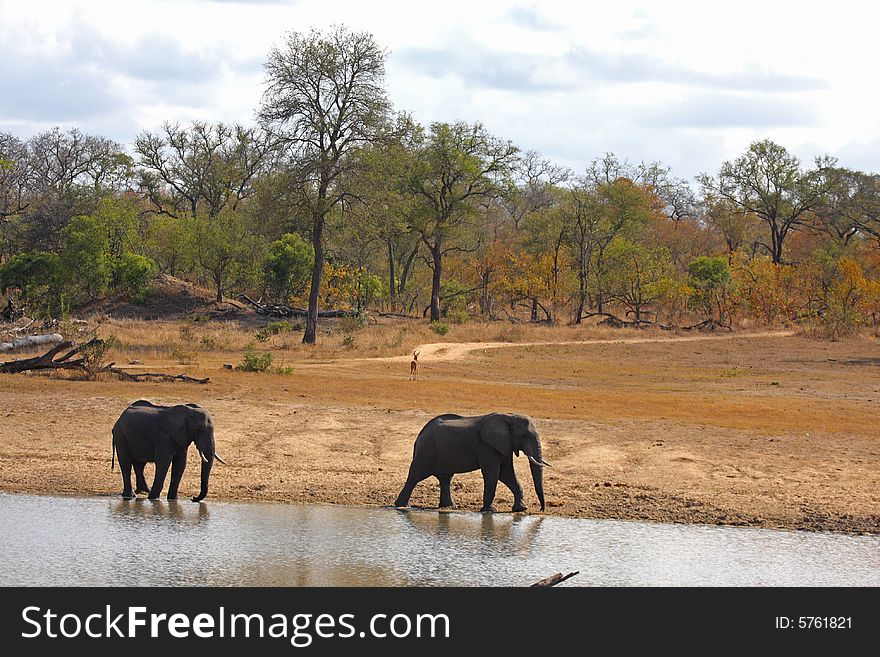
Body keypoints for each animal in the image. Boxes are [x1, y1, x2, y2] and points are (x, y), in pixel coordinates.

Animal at [394, 410, 552, 512]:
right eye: (525, 436)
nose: (541, 509)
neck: (509, 416)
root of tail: (420, 434)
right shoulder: (487, 446)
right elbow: (494, 474)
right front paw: (490, 510)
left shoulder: (504, 445)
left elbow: (507, 474)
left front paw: (520, 509)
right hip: (427, 451)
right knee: (415, 476)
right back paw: (402, 506)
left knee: (445, 478)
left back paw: (449, 507)